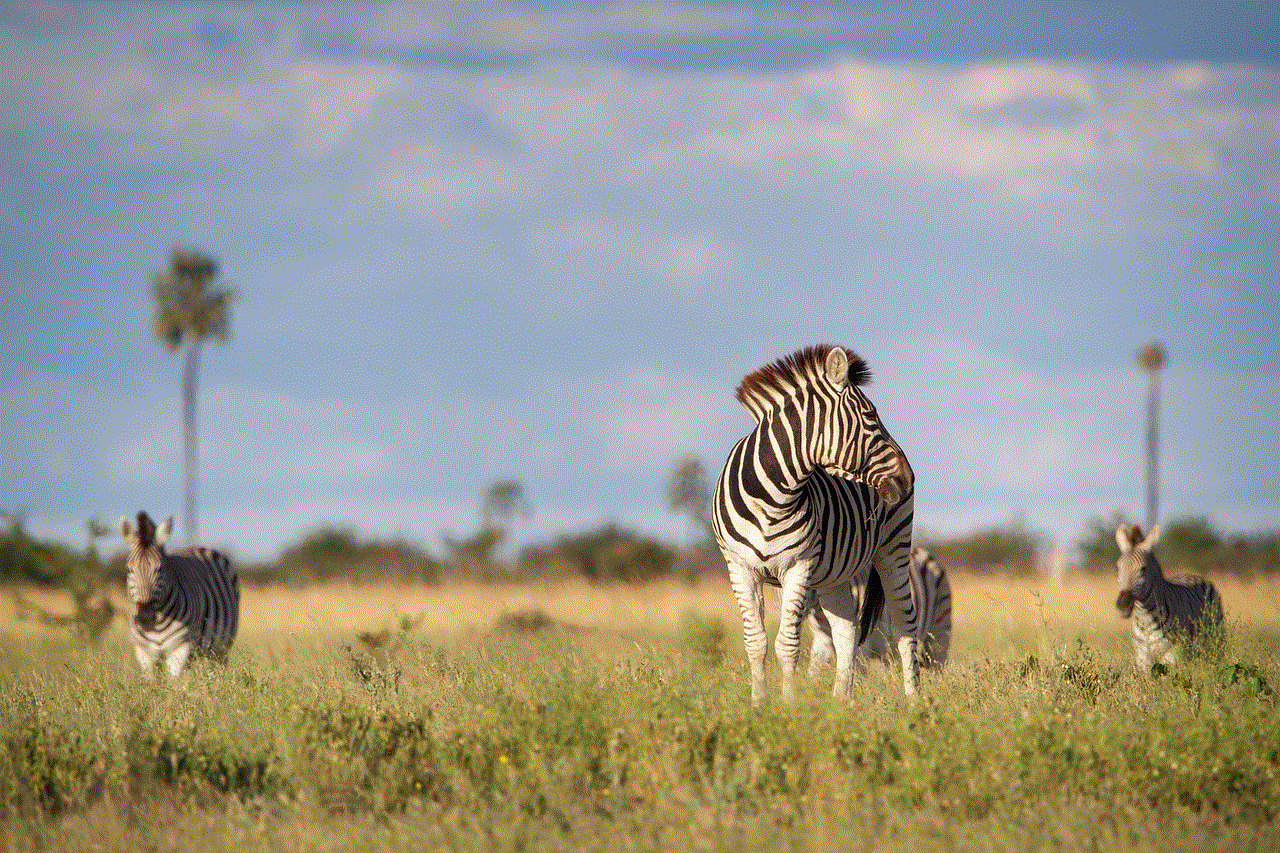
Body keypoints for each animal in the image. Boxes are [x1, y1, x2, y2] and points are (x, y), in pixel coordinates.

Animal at [121, 507, 240, 676]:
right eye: (129, 569)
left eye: (160, 569)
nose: (145, 617)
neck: (157, 625)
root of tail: (195, 546)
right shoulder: (144, 654)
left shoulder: (180, 649)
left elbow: (175, 682)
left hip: (220, 648)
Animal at [711, 343, 921, 701]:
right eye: (870, 417)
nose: (909, 479)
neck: (770, 497)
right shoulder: (739, 568)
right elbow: (756, 643)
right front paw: (758, 704)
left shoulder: (798, 565)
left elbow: (787, 644)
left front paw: (788, 705)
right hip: (836, 571)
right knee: (847, 630)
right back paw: (840, 702)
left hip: (894, 548)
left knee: (904, 630)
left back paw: (915, 703)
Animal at [798, 545, 952, 671]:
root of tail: (922, 551)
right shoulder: (822, 641)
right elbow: (813, 674)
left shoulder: (861, 647)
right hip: (890, 650)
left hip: (939, 632)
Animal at [1116, 517, 1223, 671]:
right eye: (1118, 568)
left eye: (1143, 568)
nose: (1122, 606)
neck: (1145, 618)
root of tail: (1193, 575)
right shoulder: (1142, 658)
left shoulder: (1172, 656)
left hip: (1215, 640)